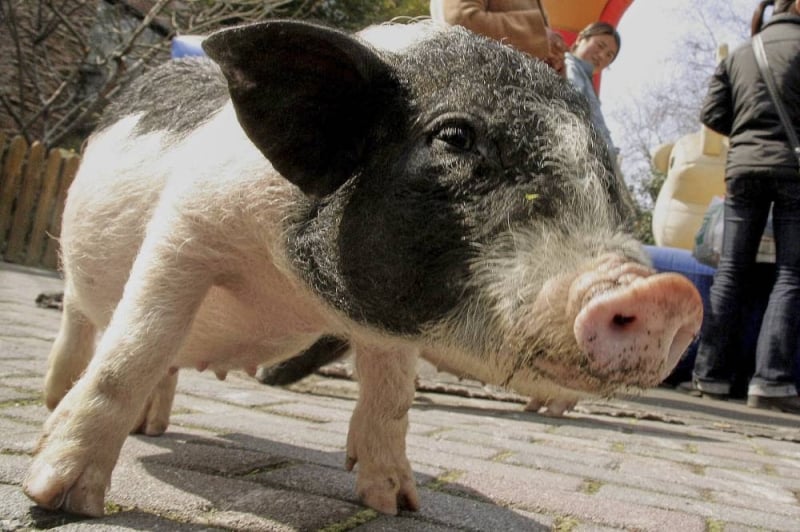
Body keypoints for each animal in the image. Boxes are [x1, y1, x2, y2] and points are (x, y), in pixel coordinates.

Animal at [24, 19, 703, 517]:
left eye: (603, 166)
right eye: (454, 137)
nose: (667, 293)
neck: (291, 289)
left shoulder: (394, 319)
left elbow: (393, 395)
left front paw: (398, 505)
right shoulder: (185, 230)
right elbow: (133, 350)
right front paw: (57, 499)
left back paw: (156, 428)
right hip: (80, 266)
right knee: (88, 325)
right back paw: (56, 403)